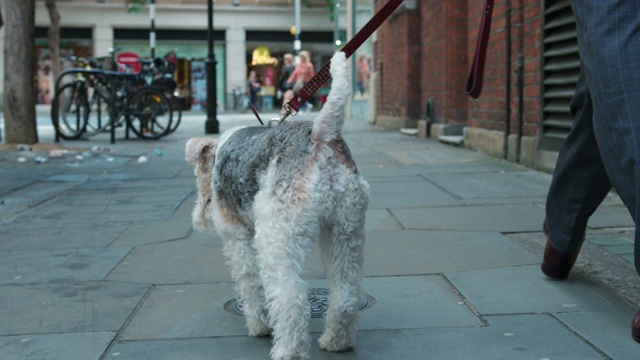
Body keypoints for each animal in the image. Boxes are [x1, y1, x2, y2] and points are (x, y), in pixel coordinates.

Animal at [185, 51, 370, 360]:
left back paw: (287, 350)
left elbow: (249, 281)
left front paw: (258, 324)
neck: (221, 149)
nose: (199, 219)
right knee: (346, 294)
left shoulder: (237, 235)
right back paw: (336, 342)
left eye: (199, 174)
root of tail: (320, 136)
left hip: (277, 236)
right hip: (345, 230)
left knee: (290, 298)